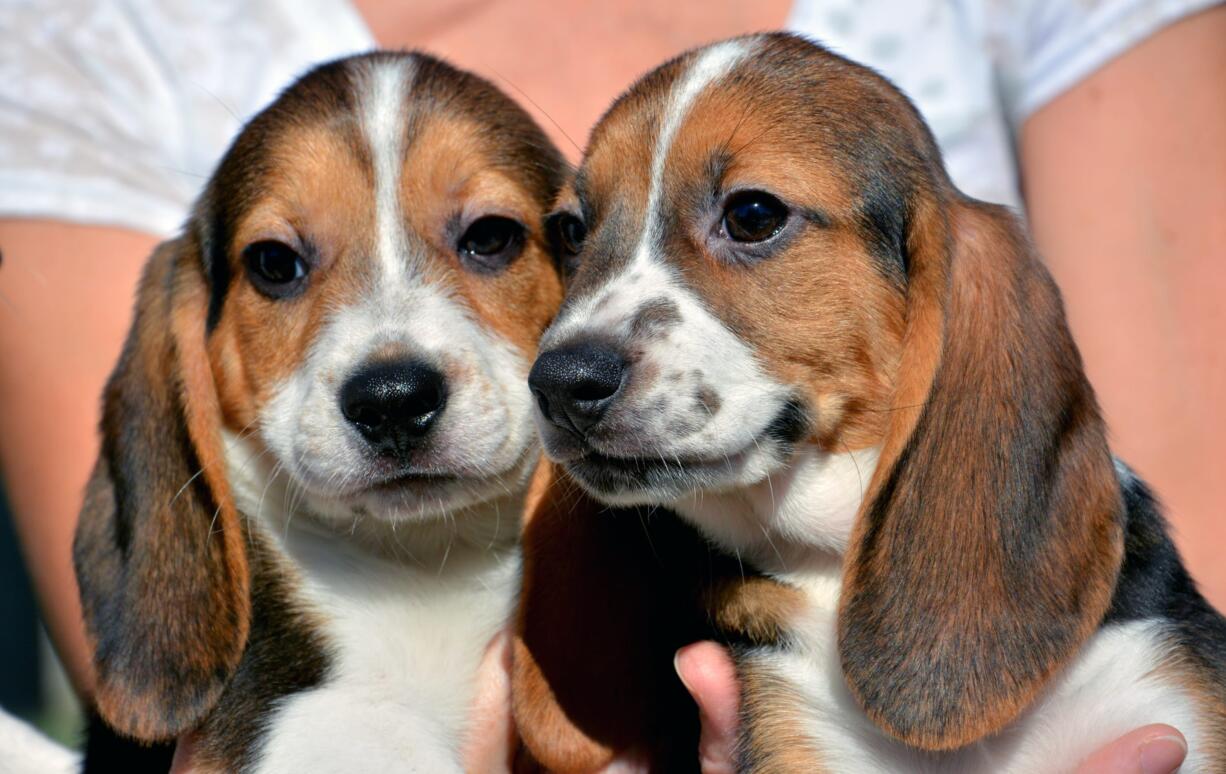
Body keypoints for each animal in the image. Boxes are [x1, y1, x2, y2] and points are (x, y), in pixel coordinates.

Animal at [71, 51, 561, 770]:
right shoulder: (285, 723)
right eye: (274, 263)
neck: (425, 562)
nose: (393, 400)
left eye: (492, 236)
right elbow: (357, 722)